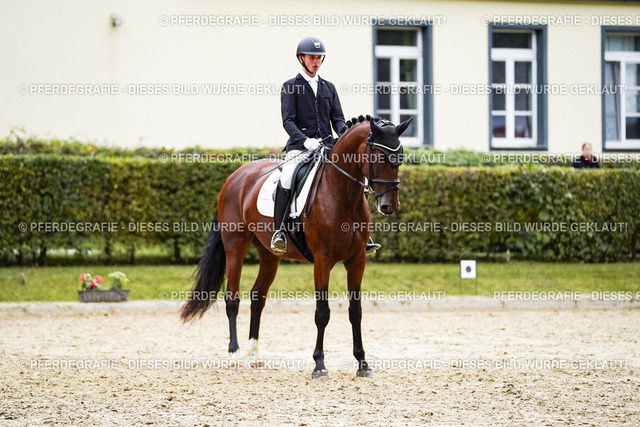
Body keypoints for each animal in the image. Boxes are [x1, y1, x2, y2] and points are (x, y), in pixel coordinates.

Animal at [180, 115, 410, 378]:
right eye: (379, 157)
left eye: (400, 157)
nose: (389, 206)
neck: (343, 193)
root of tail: (234, 177)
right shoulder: (322, 260)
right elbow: (322, 313)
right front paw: (319, 365)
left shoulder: (357, 260)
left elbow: (356, 311)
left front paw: (362, 364)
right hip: (234, 247)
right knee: (233, 299)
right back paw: (234, 354)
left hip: (269, 255)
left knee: (258, 297)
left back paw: (254, 354)